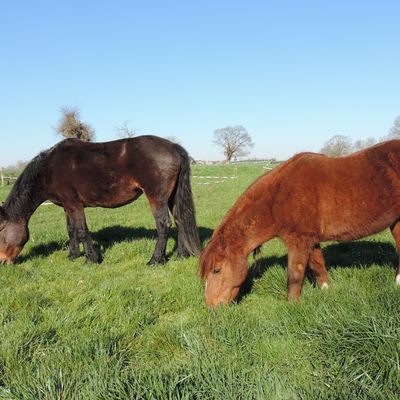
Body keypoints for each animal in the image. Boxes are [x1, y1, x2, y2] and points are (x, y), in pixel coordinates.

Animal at [0, 136, 200, 264]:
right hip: (172, 197)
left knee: (163, 225)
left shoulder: (75, 205)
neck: (49, 169)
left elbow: (82, 230)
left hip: (156, 198)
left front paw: (91, 259)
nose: (3, 261)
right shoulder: (67, 206)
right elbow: (71, 229)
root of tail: (173, 146)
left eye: (1, 231)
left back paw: (155, 260)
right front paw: (73, 256)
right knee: (180, 220)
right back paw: (181, 255)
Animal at [200, 139, 400, 308]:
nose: (211, 307)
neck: (279, 197)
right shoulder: (309, 240)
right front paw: (326, 291)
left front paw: (293, 306)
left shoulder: (298, 241)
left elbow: (295, 275)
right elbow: (318, 265)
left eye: (216, 270)